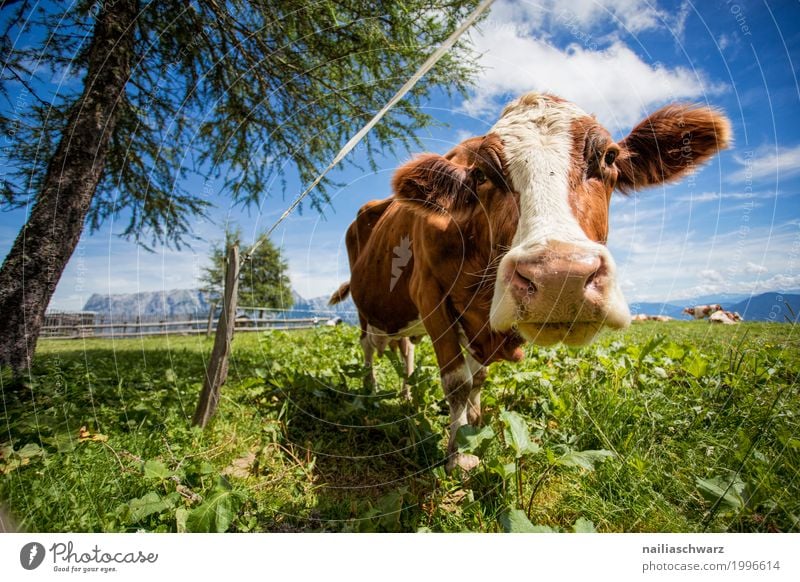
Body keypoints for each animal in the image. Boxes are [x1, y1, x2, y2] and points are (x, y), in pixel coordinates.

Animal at [328, 91, 728, 474]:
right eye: (480, 174)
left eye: (610, 157)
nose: (560, 277)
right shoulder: (430, 295)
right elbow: (457, 383)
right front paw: (459, 455)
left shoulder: (478, 322)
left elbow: (478, 379)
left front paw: (475, 425)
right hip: (366, 310)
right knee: (367, 348)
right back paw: (370, 393)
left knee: (405, 349)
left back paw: (407, 395)